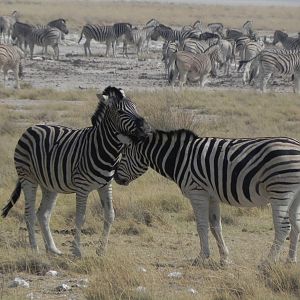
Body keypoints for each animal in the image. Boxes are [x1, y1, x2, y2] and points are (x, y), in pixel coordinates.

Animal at [2, 85, 151, 256]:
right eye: (120, 112)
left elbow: (110, 215)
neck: (104, 149)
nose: (146, 129)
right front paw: (77, 251)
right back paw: (35, 249)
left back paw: (52, 249)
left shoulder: (106, 185)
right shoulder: (82, 187)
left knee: (43, 214)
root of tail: (32, 127)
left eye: (135, 107)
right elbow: (80, 217)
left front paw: (101, 250)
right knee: (30, 214)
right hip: (27, 177)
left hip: (49, 184)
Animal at [115, 130, 300, 266]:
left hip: (280, 191)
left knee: (283, 227)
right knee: (296, 226)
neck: (179, 157)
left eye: (123, 155)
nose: (116, 178)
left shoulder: (197, 193)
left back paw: (267, 262)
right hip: (294, 195)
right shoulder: (212, 196)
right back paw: (290, 261)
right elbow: (215, 226)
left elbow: (202, 226)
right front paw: (224, 258)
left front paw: (201, 257)